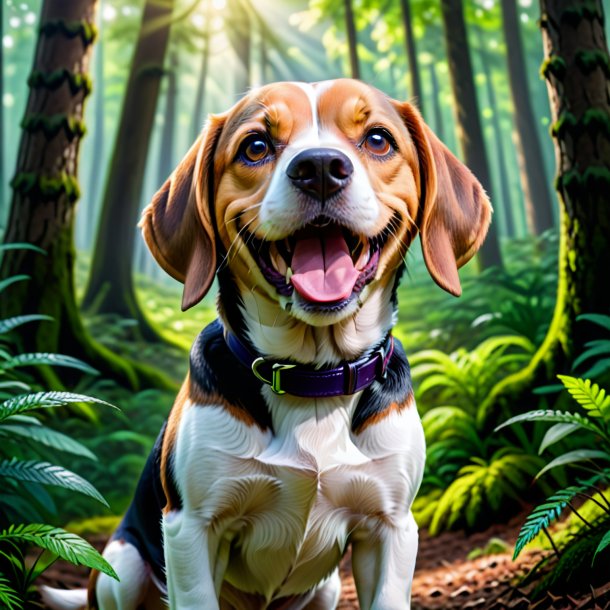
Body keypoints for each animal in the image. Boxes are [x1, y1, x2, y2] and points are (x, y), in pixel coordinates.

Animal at [41, 81, 490, 608]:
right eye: (255, 146)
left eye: (378, 139)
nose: (320, 168)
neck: (312, 378)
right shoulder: (190, 529)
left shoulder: (392, 528)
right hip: (124, 562)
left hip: (327, 586)